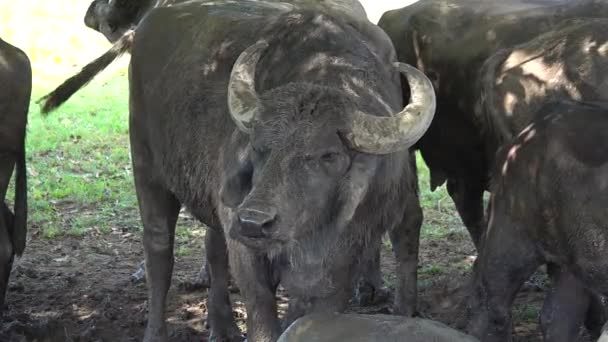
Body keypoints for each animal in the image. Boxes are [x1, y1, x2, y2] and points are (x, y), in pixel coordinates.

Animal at [40, 1, 434, 340]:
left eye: (328, 155)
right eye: (259, 147)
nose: (254, 221)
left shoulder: (343, 261)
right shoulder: (249, 254)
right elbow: (262, 319)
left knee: (214, 253)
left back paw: (223, 327)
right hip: (147, 169)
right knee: (159, 255)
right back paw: (156, 330)